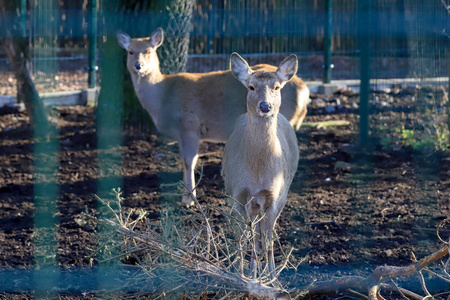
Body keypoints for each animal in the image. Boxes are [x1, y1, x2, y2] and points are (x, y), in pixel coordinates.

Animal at [116, 27, 308, 206]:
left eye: (149, 51)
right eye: (130, 51)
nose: (138, 66)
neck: (162, 95)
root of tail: (304, 90)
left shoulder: (189, 125)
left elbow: (189, 161)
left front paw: (189, 199)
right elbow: (185, 160)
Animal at [221, 52, 298, 278]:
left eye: (277, 87)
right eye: (251, 87)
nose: (265, 107)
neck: (257, 172)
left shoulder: (274, 195)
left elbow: (268, 237)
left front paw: (271, 276)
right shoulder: (238, 193)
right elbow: (245, 235)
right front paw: (243, 272)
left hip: (284, 192)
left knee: (265, 230)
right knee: (253, 231)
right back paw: (253, 268)